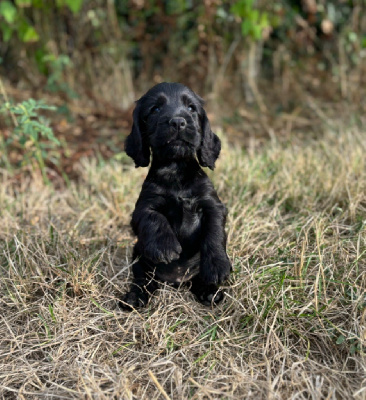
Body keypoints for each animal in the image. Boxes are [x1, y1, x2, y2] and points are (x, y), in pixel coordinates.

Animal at [121, 83, 232, 310]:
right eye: (155, 109)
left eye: (191, 108)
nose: (178, 122)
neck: (176, 170)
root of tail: (178, 281)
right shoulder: (143, 207)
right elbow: (153, 217)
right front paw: (165, 246)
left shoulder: (212, 205)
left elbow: (215, 231)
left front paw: (217, 265)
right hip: (139, 257)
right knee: (143, 281)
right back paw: (134, 297)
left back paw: (209, 292)